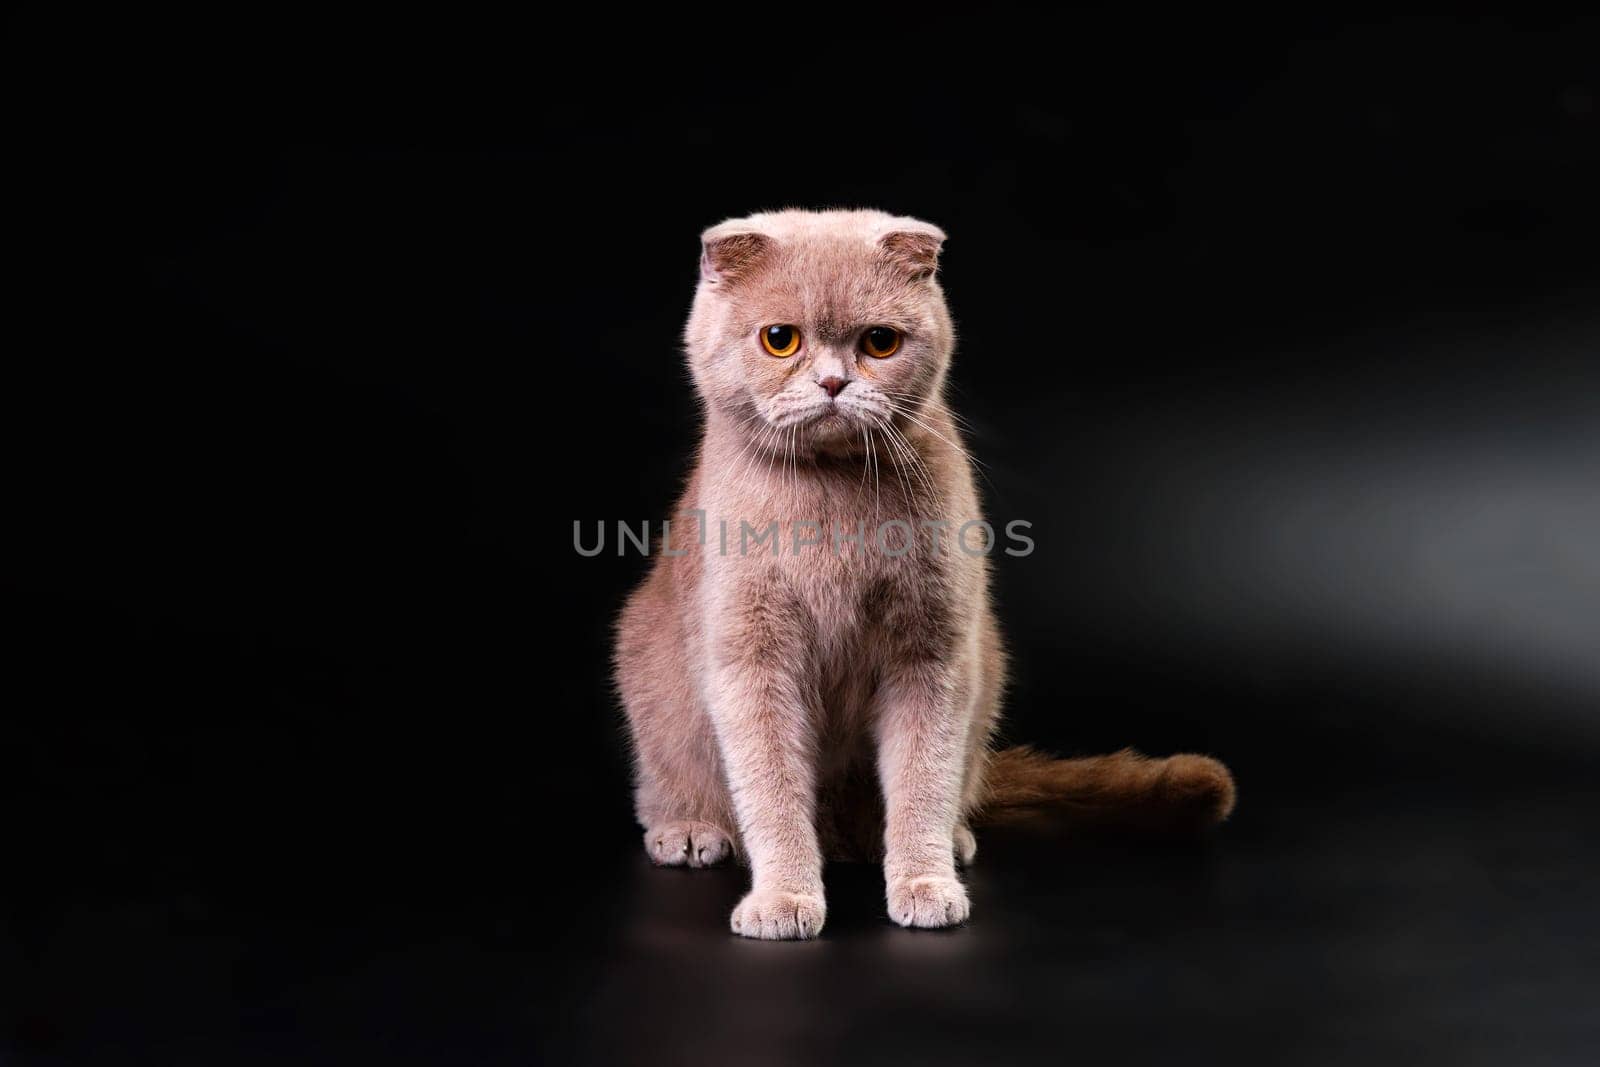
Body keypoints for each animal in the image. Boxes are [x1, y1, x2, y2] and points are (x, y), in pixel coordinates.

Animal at [614, 211, 1235, 940]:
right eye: (779, 339)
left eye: (880, 342)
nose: (833, 382)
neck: (835, 506)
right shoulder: (750, 655)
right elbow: (770, 786)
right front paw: (784, 898)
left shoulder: (933, 649)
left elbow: (922, 775)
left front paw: (924, 881)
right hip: (651, 674)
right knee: (668, 782)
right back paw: (688, 830)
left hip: (984, 669)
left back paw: (951, 839)